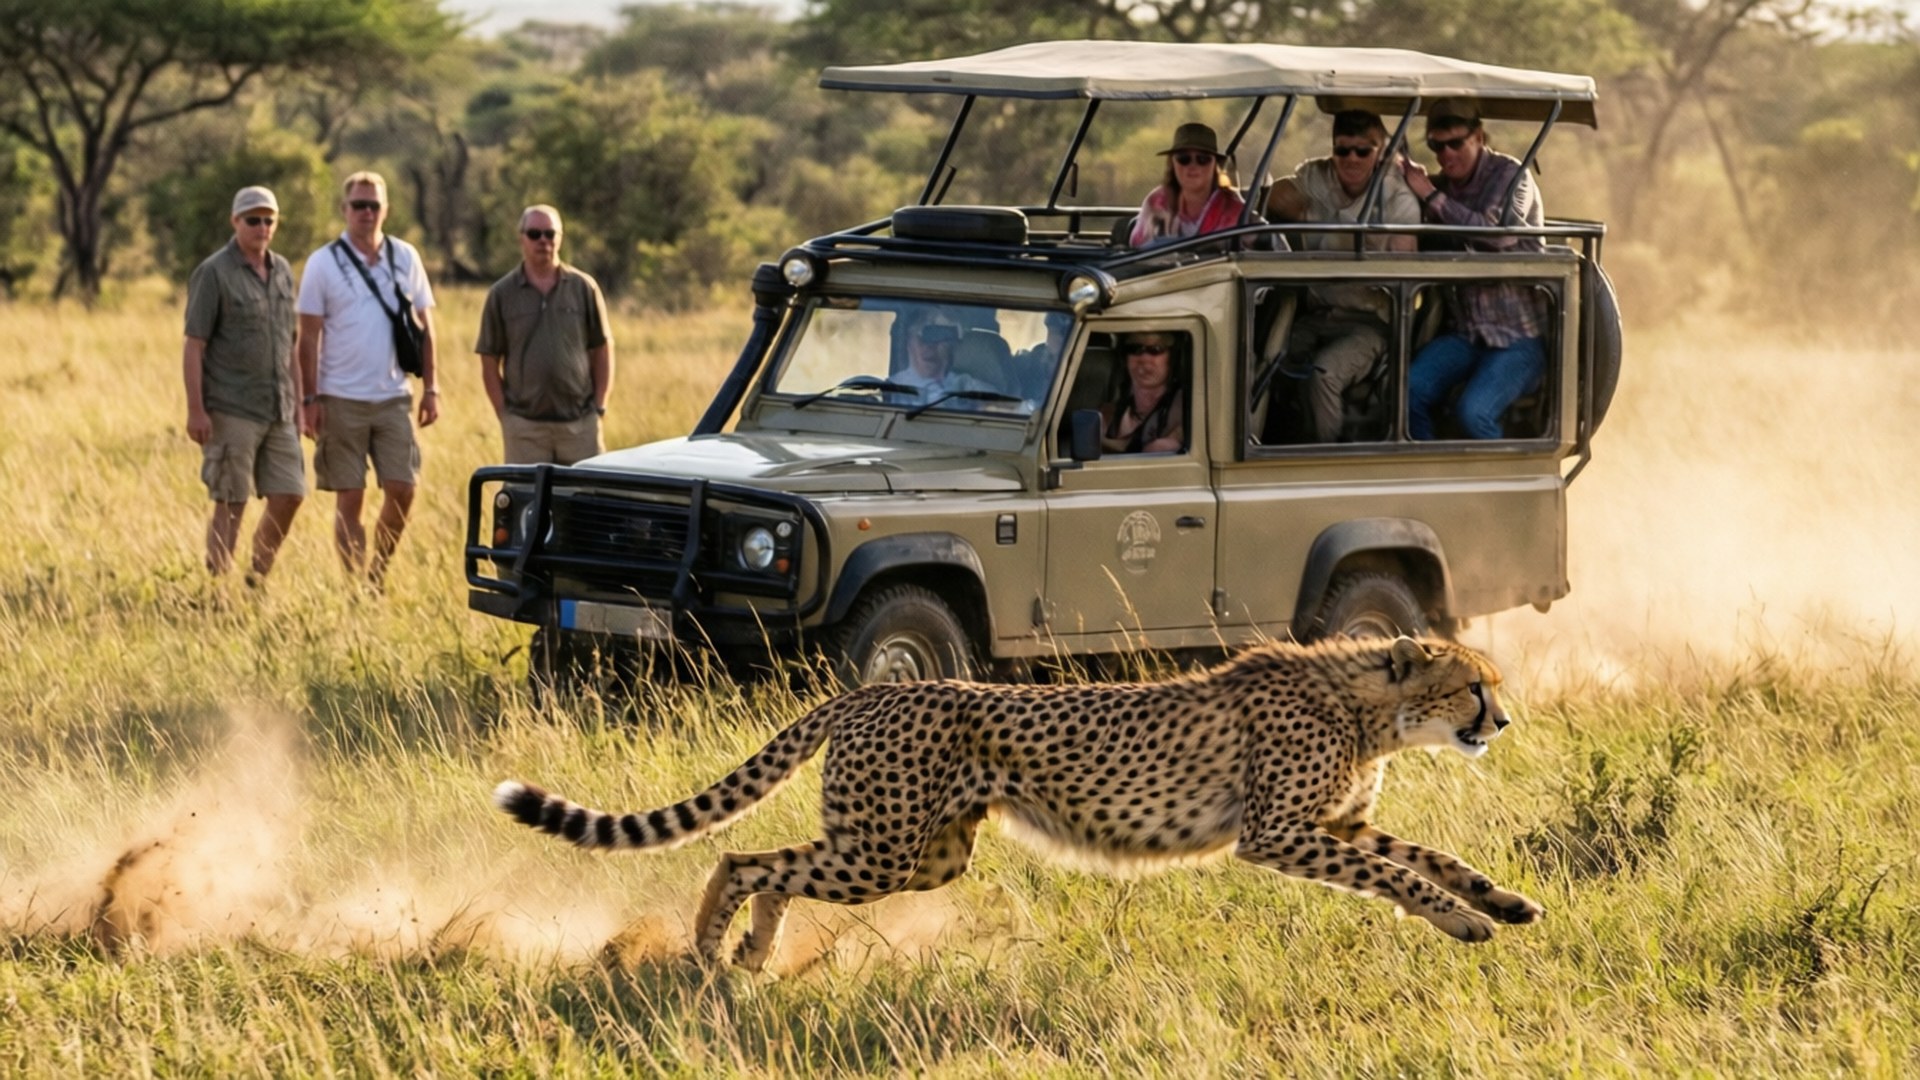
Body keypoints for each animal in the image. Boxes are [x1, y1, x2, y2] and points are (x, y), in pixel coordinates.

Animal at [493, 634, 1543, 969]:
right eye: (1471, 686)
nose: (1501, 720)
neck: (1367, 703)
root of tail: (870, 691)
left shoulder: (1335, 821)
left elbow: (1425, 856)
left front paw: (1504, 901)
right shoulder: (1279, 833)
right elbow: (1392, 875)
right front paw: (1462, 922)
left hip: (925, 855)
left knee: (776, 865)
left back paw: (750, 952)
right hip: (885, 849)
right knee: (740, 854)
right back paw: (715, 948)